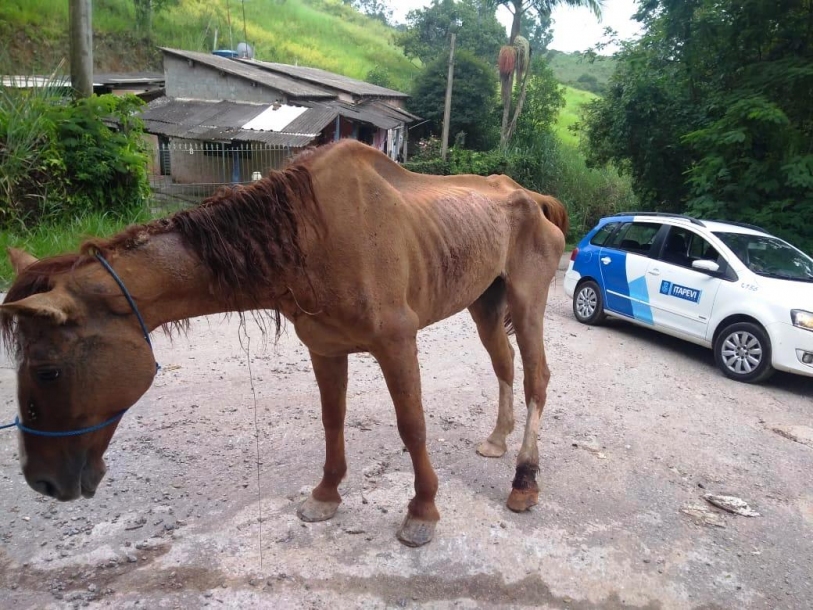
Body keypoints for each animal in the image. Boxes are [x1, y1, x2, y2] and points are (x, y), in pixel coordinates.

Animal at [0, 139, 567, 547]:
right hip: (485, 307)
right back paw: (497, 439)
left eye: (48, 370)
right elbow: (332, 421)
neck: (312, 237)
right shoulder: (325, 349)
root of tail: (533, 199)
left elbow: (413, 427)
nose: (41, 481)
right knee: (505, 365)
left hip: (526, 305)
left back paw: (524, 481)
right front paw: (326, 494)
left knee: (537, 378)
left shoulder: (397, 344)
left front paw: (422, 511)